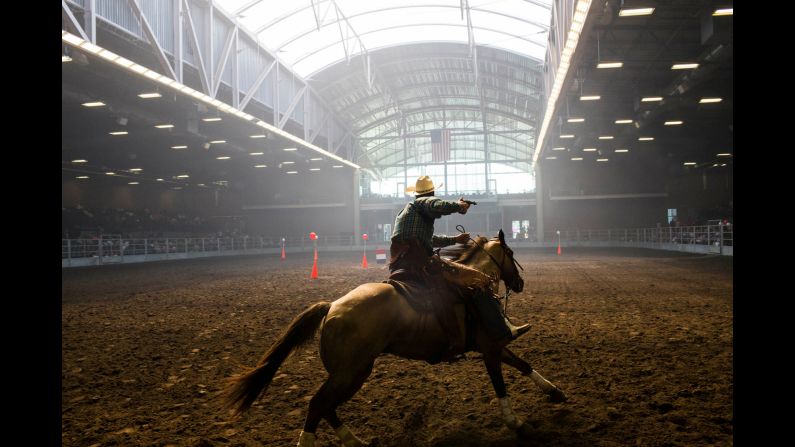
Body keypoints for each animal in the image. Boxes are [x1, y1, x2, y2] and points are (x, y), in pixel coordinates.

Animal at [224, 229, 564, 446]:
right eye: (510, 253)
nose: (519, 283)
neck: (471, 287)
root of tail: (332, 306)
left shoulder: (490, 346)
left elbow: (523, 365)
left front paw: (555, 391)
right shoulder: (490, 348)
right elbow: (501, 385)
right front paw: (516, 423)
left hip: (353, 371)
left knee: (326, 407)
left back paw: (355, 441)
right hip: (351, 372)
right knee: (318, 404)